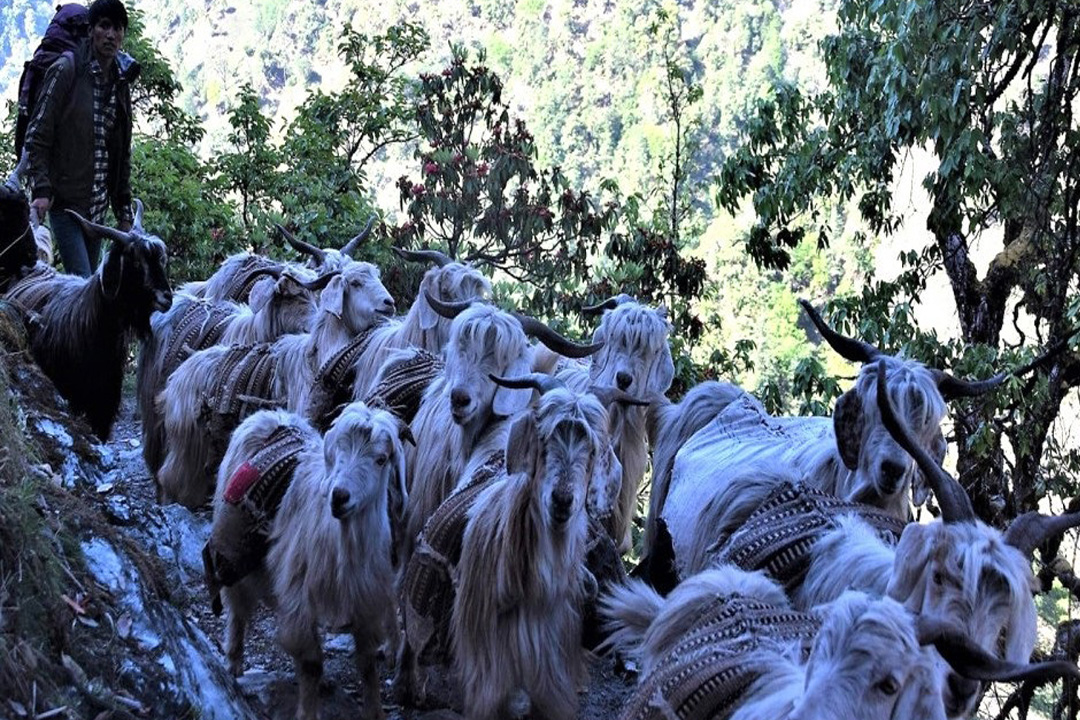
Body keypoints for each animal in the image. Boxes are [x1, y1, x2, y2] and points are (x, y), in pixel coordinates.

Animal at [156, 263, 397, 507]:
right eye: (355, 283)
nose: (389, 304)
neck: (316, 361)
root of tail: (177, 377)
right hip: (185, 446)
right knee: (168, 478)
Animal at [210, 399, 408, 720]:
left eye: (381, 459)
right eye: (338, 450)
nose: (339, 496)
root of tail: (270, 414)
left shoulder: (366, 598)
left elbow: (366, 663)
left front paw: (375, 710)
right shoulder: (300, 594)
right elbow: (310, 662)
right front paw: (307, 711)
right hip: (234, 553)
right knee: (238, 611)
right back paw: (233, 665)